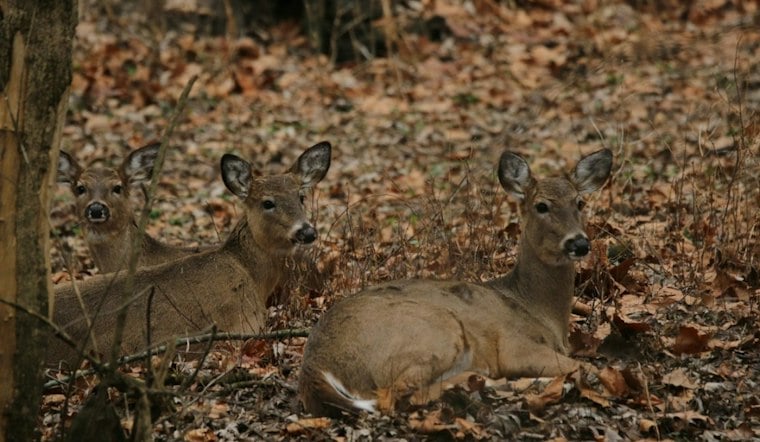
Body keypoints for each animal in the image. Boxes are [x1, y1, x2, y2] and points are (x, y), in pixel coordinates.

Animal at [298, 148, 612, 417]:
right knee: (397, 395)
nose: (579, 243)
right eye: (542, 206)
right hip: (434, 328)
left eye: (580, 202)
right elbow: (584, 367)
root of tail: (314, 366)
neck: (538, 309)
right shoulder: (514, 345)